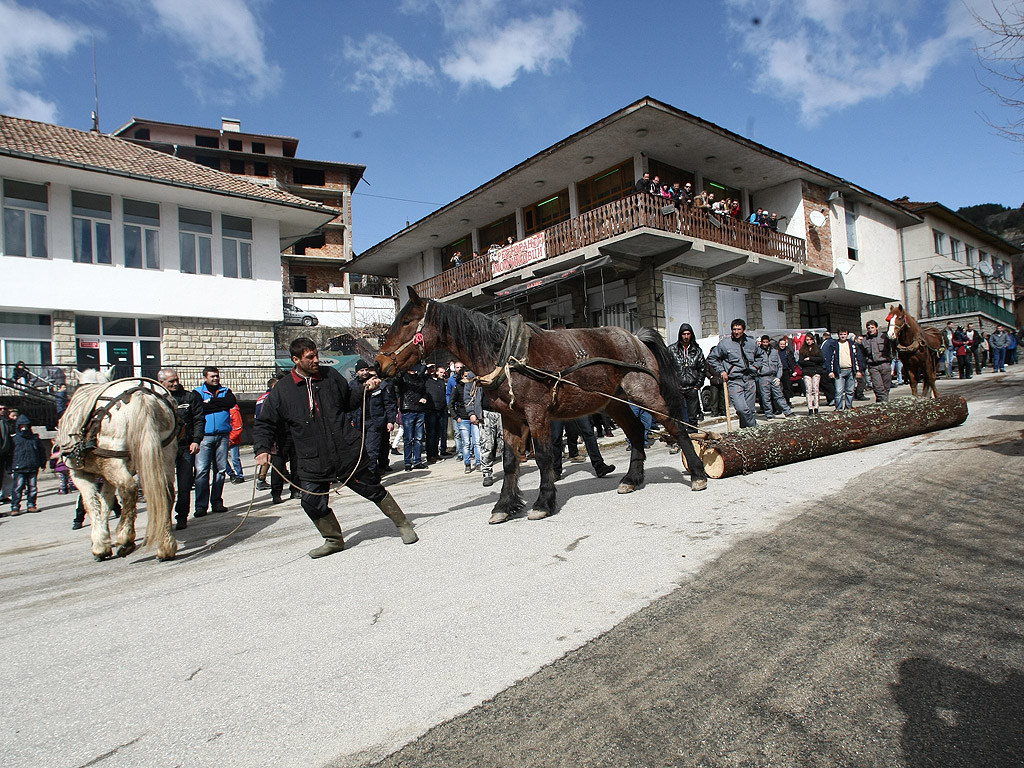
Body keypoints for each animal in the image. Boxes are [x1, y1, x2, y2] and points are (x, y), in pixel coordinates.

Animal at [58, 370, 179, 561]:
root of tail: (141, 395)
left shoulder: (79, 473)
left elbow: (92, 503)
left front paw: (100, 545)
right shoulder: (106, 475)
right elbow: (105, 502)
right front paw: (104, 540)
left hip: (112, 458)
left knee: (128, 488)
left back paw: (125, 539)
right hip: (164, 451)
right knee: (165, 492)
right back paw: (166, 546)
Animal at [374, 286, 704, 524]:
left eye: (406, 321)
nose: (378, 365)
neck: (505, 353)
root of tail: (635, 338)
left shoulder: (537, 414)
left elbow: (545, 457)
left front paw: (543, 502)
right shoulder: (510, 418)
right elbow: (509, 462)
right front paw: (504, 505)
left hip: (644, 394)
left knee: (676, 426)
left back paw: (698, 474)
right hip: (614, 403)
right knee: (636, 432)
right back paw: (632, 479)